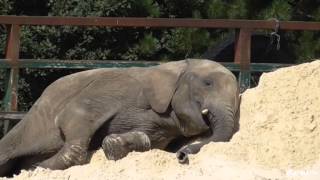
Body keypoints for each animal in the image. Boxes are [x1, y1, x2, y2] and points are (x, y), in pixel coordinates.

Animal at [0, 58, 240, 176]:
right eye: (207, 83)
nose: (181, 155)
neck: (176, 68)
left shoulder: (164, 128)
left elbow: (147, 139)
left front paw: (114, 145)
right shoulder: (116, 88)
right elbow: (74, 116)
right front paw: (35, 168)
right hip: (35, 119)